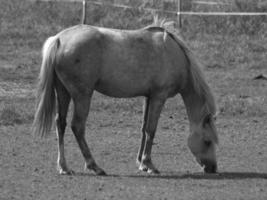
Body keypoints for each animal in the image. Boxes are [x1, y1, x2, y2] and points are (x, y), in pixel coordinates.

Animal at [32, 21, 219, 176]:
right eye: (207, 141)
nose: (213, 168)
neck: (173, 54)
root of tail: (59, 39)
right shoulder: (159, 96)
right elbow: (151, 129)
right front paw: (149, 164)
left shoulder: (148, 96)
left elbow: (144, 128)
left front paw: (141, 163)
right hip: (82, 95)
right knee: (77, 126)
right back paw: (94, 166)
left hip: (63, 92)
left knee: (61, 124)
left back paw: (64, 167)